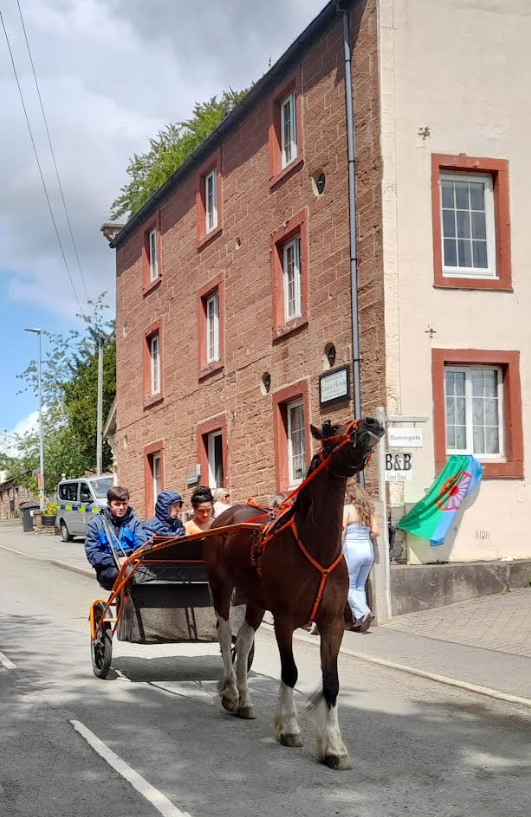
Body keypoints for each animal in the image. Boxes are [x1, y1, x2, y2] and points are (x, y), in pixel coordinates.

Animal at [203, 416, 384, 770]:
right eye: (330, 432)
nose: (371, 422)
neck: (316, 548)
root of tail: (227, 514)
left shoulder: (332, 623)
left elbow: (331, 682)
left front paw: (334, 747)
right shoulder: (285, 620)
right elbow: (290, 671)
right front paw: (288, 727)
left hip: (255, 600)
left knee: (244, 642)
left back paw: (244, 700)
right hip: (221, 587)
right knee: (225, 632)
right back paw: (230, 692)